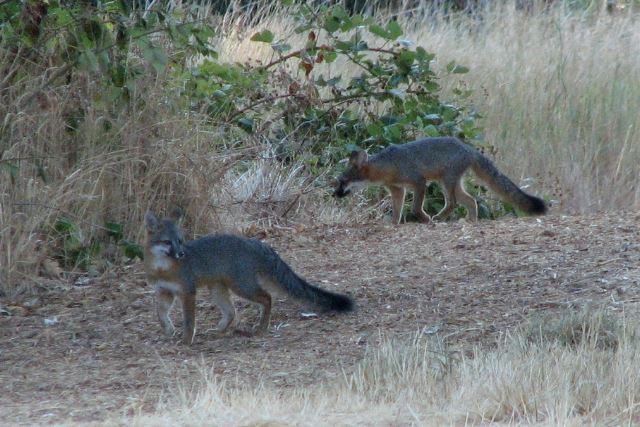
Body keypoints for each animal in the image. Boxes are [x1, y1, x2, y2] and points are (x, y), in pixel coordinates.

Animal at [143, 209, 353, 345]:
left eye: (180, 241)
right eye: (168, 242)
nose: (181, 254)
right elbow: (160, 314)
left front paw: (186, 340)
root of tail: (257, 243)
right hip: (218, 289)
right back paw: (220, 330)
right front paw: (169, 330)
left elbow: (189, 320)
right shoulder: (165, 291)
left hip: (242, 287)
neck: (164, 269)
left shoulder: (188, 292)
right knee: (231, 312)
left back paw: (262, 327)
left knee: (267, 297)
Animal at [334, 137, 547, 224]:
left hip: (446, 182)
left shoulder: (419, 182)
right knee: (470, 200)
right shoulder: (397, 189)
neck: (387, 165)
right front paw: (394, 222)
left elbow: (415, 207)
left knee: (452, 203)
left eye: (342, 182)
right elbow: (397, 208)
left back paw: (440, 217)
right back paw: (471, 220)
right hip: (453, 184)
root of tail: (467, 148)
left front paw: (424, 218)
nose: (334, 195)